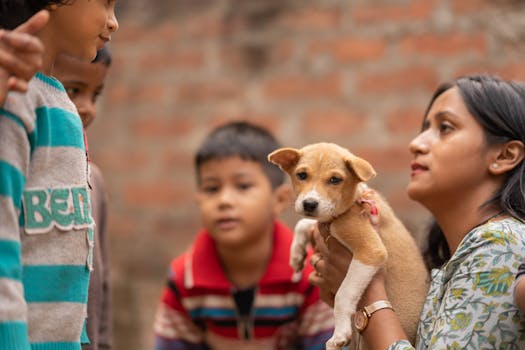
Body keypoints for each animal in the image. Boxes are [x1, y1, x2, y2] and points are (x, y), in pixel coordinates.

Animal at [268, 142, 428, 350]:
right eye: (301, 175)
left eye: (335, 179)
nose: (309, 204)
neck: (354, 201)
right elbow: (304, 223)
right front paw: (296, 255)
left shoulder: (371, 251)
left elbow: (343, 295)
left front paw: (340, 334)